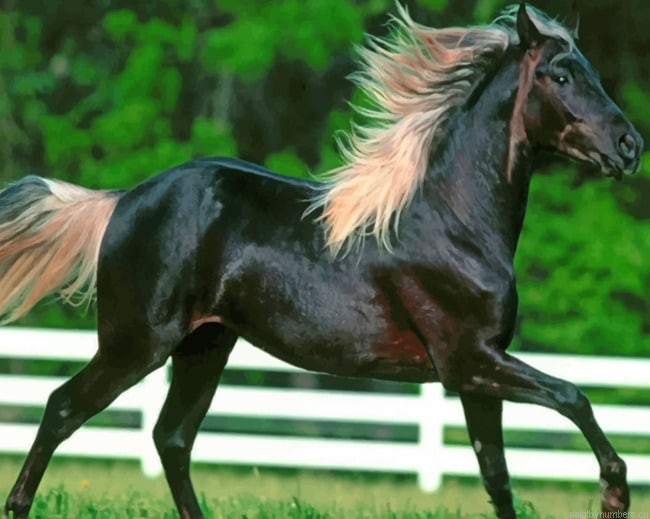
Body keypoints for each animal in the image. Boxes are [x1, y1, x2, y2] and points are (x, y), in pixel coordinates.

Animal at [1, 3, 643, 518]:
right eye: (561, 75)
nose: (630, 147)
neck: (455, 224)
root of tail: (122, 201)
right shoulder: (470, 361)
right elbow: (573, 396)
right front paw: (615, 495)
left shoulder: (476, 375)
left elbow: (498, 477)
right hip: (137, 344)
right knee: (63, 409)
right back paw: (18, 505)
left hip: (205, 346)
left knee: (172, 439)